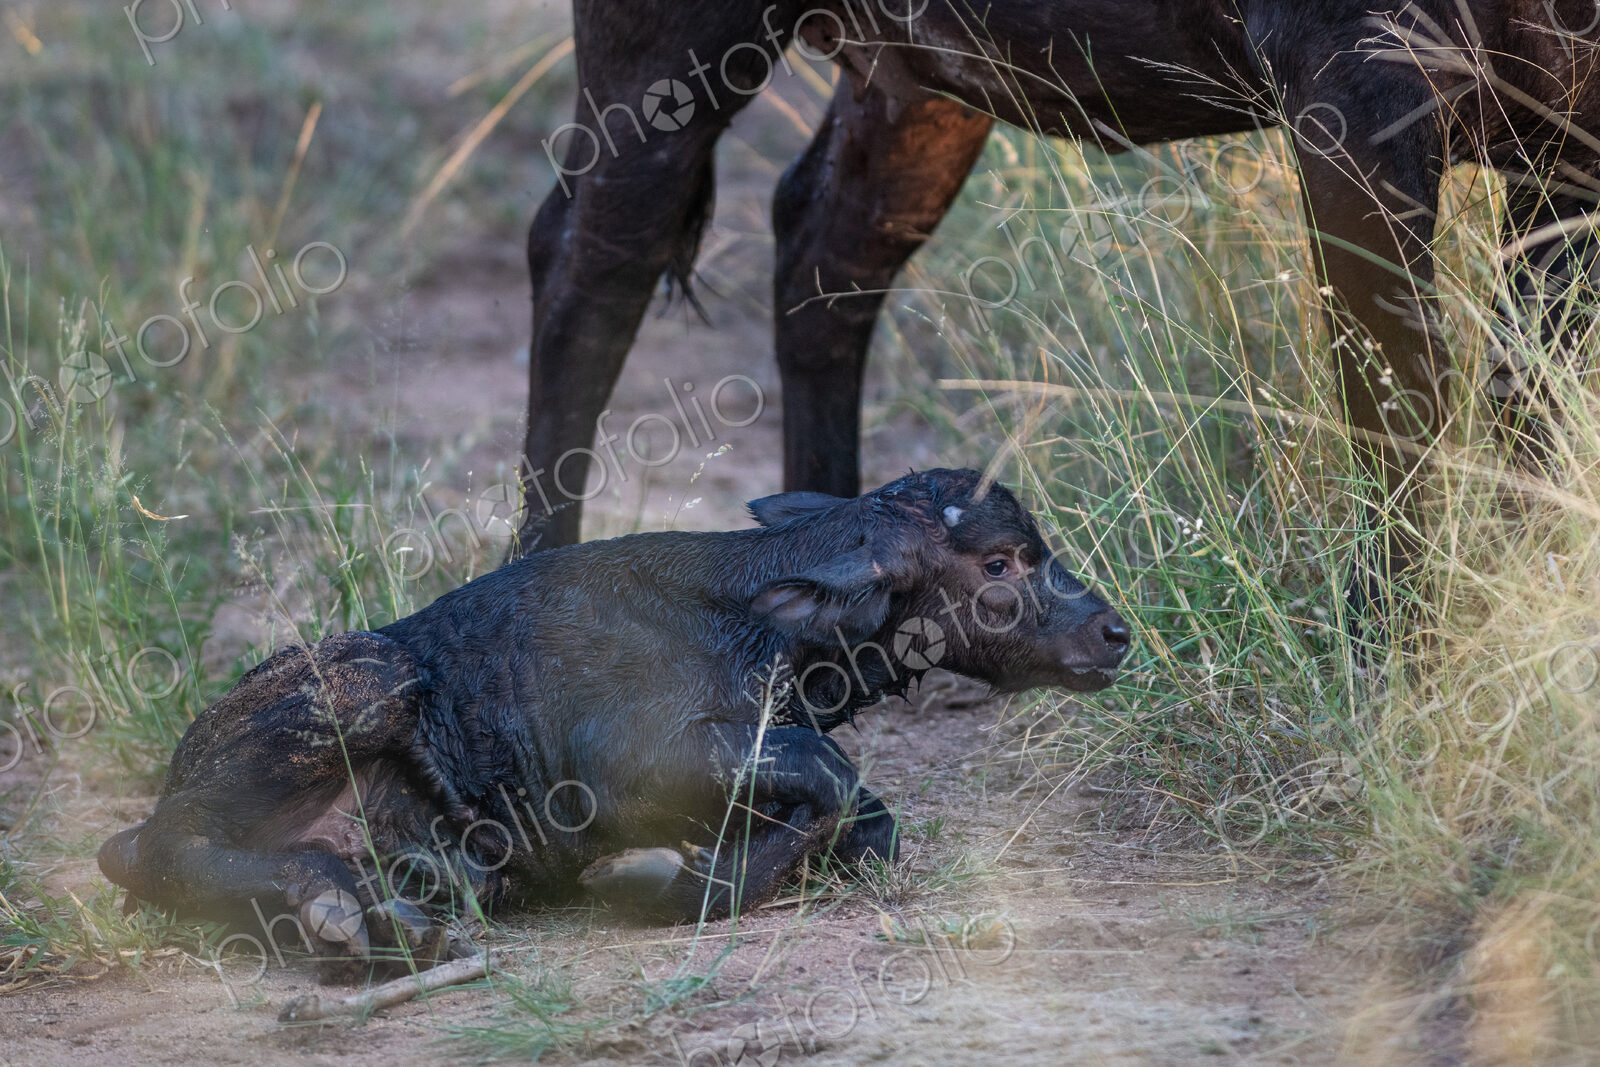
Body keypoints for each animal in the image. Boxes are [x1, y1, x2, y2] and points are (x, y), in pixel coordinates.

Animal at [98, 469, 1129, 975]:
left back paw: (404, 907)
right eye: (1001, 562)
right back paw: (341, 905)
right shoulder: (633, 767)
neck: (758, 630)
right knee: (147, 845)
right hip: (365, 679)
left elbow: (870, 822)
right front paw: (663, 878)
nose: (1116, 631)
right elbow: (833, 777)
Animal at [517, 1, 1600, 622]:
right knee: (587, 258)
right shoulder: (1353, 92)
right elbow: (1401, 413)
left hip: (918, 88)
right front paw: (1399, 647)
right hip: (666, 55)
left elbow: (1530, 403)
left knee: (823, 247)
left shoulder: (1566, 150)